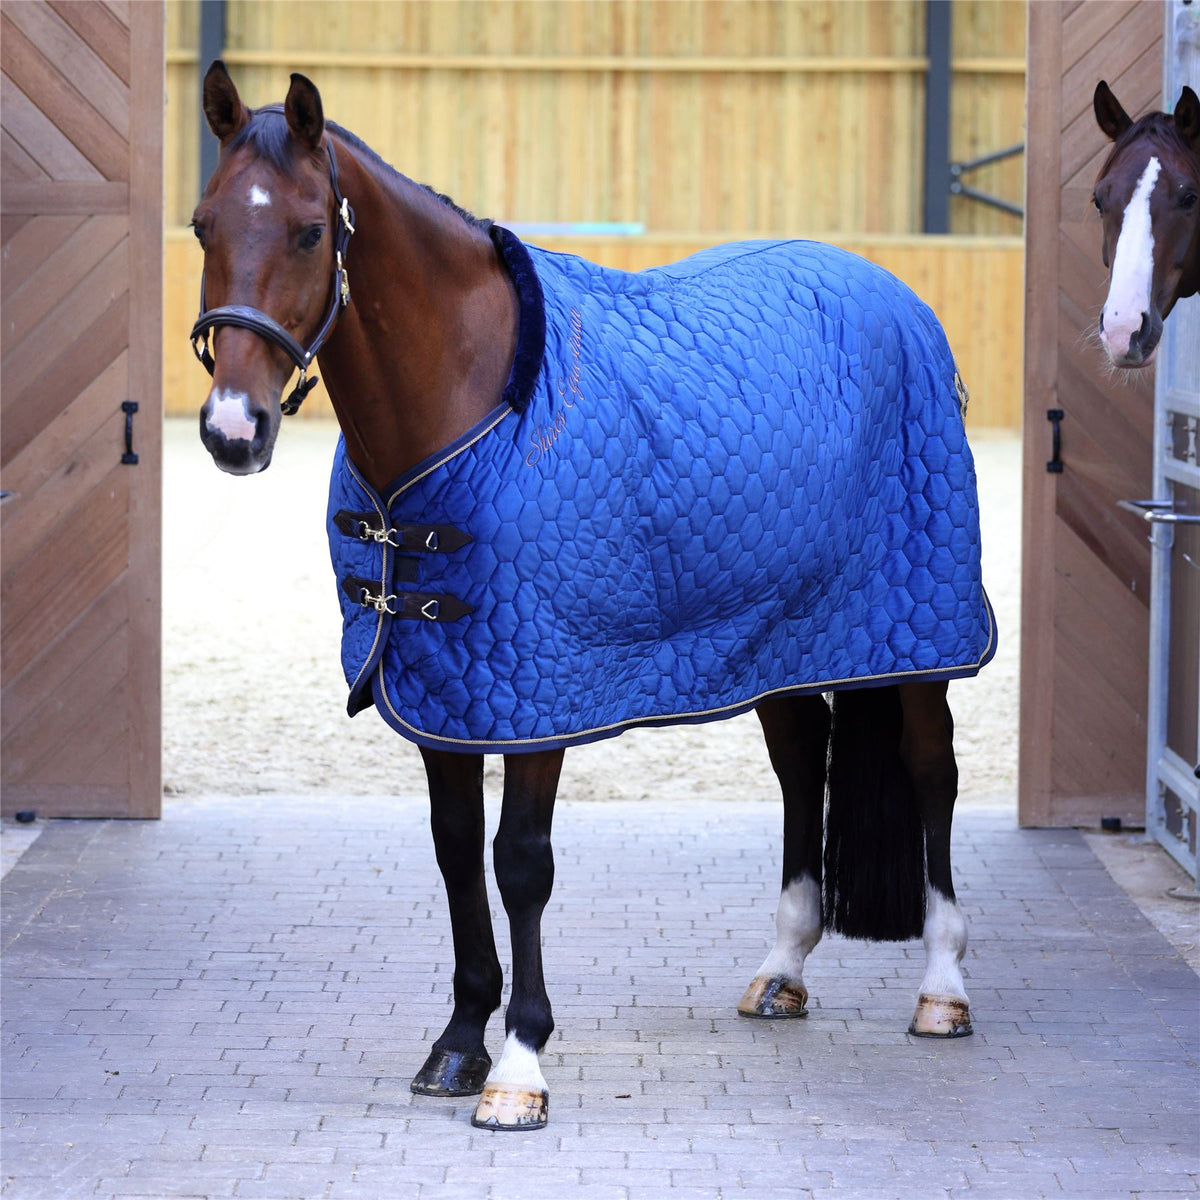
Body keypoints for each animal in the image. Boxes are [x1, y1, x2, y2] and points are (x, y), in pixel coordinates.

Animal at [190, 63, 996, 1131]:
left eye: (310, 232)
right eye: (202, 225)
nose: (231, 430)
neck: (475, 401)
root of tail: (892, 295)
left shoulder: (542, 689)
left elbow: (521, 862)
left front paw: (520, 1064)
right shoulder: (447, 682)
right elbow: (457, 853)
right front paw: (460, 1040)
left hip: (915, 633)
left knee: (931, 772)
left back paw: (943, 986)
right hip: (785, 638)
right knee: (799, 767)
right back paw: (782, 969)